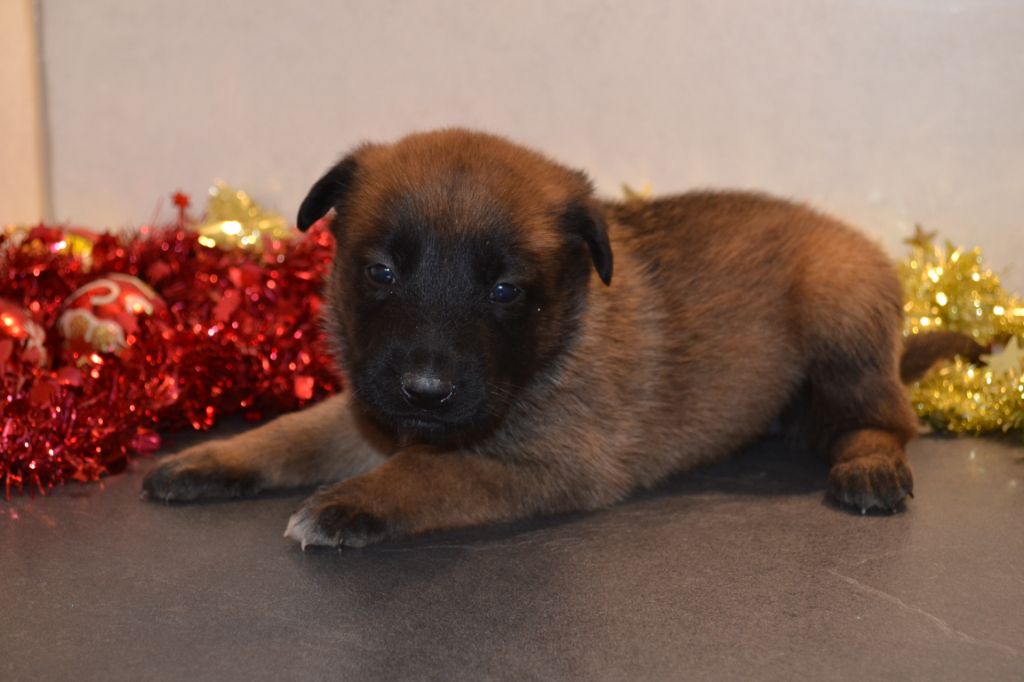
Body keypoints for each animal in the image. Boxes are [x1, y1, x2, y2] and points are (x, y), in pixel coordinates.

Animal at [143, 129, 965, 549]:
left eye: (507, 291)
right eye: (381, 272)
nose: (426, 392)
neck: (561, 336)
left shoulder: (551, 464)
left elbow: (431, 473)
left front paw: (350, 503)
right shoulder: (373, 411)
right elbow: (294, 432)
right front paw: (213, 458)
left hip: (838, 305)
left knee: (887, 420)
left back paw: (868, 466)